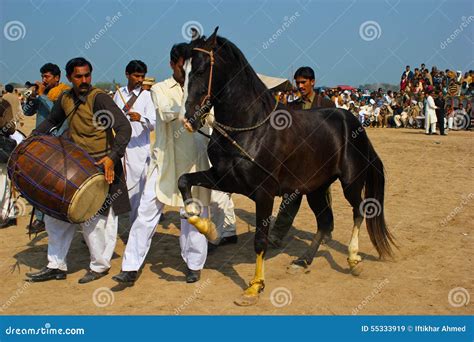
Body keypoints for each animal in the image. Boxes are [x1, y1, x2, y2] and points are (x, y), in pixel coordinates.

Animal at [180, 26, 394, 304]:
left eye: (202, 69)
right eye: (182, 70)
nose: (188, 119)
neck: (250, 128)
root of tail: (353, 121)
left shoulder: (264, 193)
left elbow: (260, 240)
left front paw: (255, 287)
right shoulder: (223, 178)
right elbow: (184, 180)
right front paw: (210, 229)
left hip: (350, 182)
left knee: (359, 211)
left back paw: (353, 259)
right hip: (315, 188)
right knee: (325, 222)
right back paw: (303, 261)